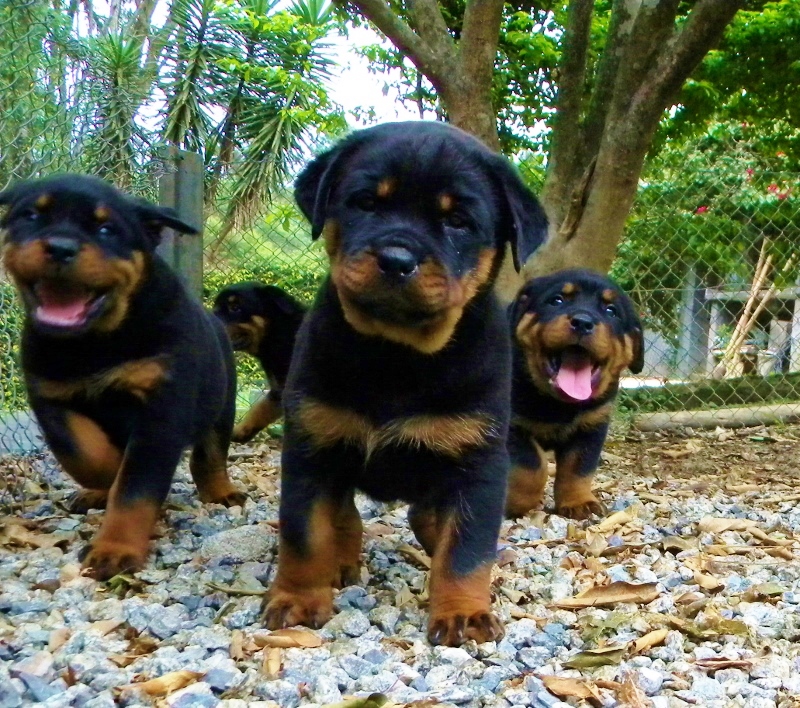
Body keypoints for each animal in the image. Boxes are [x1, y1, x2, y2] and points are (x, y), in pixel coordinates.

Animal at [0, 174, 246, 579]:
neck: (96, 341)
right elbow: (80, 450)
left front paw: (114, 549)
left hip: (221, 405)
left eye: (106, 229)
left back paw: (221, 492)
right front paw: (105, 481)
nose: (61, 247)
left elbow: (135, 486)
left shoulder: (161, 409)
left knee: (210, 454)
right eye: (31, 216)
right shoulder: (50, 398)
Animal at [260, 121, 548, 646]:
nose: (397, 258)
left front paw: (463, 613)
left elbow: (467, 549)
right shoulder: (311, 448)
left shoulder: (477, 465)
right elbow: (306, 533)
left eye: (458, 222)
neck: (396, 354)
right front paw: (297, 599)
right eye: (365, 202)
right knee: (345, 515)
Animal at [505, 269, 644, 521]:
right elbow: (532, 466)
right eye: (557, 300)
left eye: (611, 311)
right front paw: (515, 503)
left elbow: (578, 469)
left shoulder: (591, 427)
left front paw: (579, 502)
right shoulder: (511, 425)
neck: (560, 404)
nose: (583, 322)